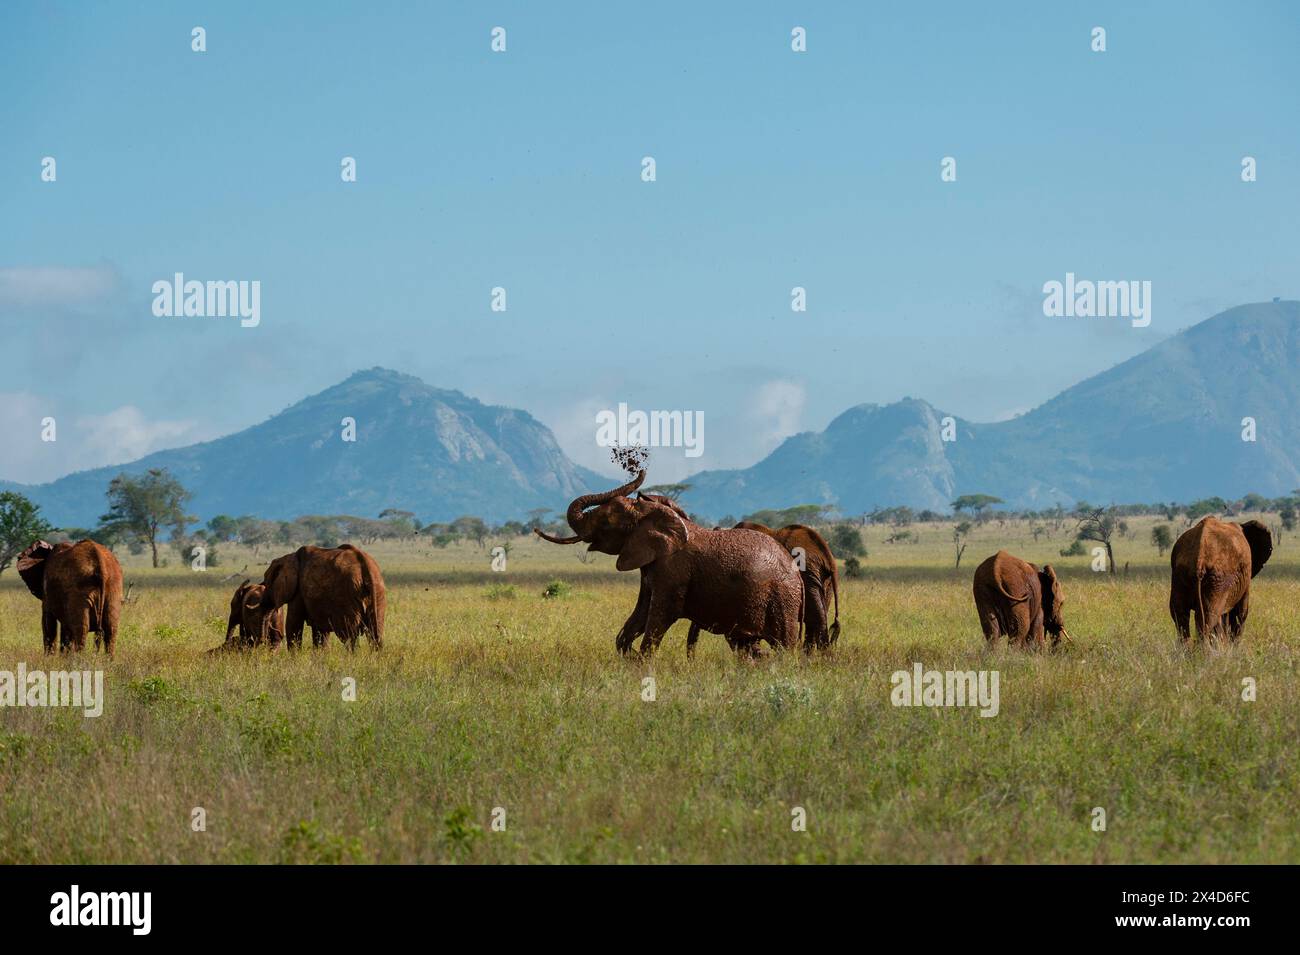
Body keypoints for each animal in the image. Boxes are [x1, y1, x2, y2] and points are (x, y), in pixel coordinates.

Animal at [254, 545, 384, 649]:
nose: (263, 642)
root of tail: (365, 563)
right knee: (376, 632)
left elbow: (294, 624)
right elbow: (320, 632)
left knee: (349, 636)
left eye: (267, 582)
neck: (287, 557)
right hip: (377, 591)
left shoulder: (298, 590)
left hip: (346, 596)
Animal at [530, 472, 800, 657]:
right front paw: (629, 655)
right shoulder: (649, 565)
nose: (641, 470)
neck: (651, 515)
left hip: (781, 599)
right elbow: (641, 611)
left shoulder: (673, 570)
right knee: (746, 644)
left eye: (606, 521)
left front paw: (642, 663)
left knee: (783, 645)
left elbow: (662, 613)